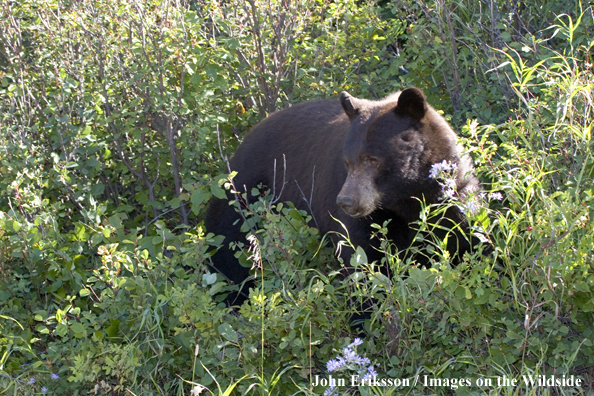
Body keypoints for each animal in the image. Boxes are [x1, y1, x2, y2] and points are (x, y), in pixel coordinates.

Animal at [206, 86, 478, 302]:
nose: (346, 201)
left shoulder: (453, 196)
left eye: (372, 159)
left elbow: (467, 239)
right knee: (230, 253)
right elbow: (362, 259)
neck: (408, 198)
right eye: (347, 162)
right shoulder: (368, 217)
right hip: (245, 198)